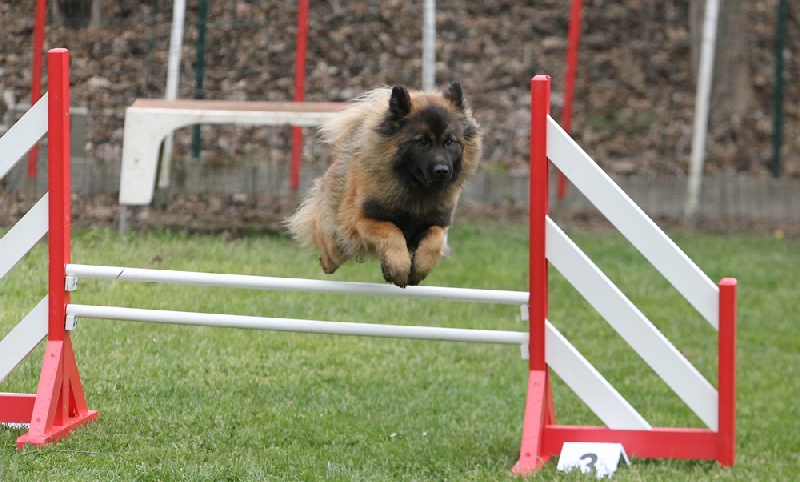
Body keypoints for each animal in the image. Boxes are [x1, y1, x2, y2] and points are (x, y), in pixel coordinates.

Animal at [286, 83, 482, 286]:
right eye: (422, 141)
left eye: (449, 142)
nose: (442, 171)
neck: (414, 190)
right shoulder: (361, 220)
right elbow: (391, 230)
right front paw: (398, 268)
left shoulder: (438, 222)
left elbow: (434, 240)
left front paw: (419, 268)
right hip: (336, 236)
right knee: (331, 249)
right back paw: (327, 262)